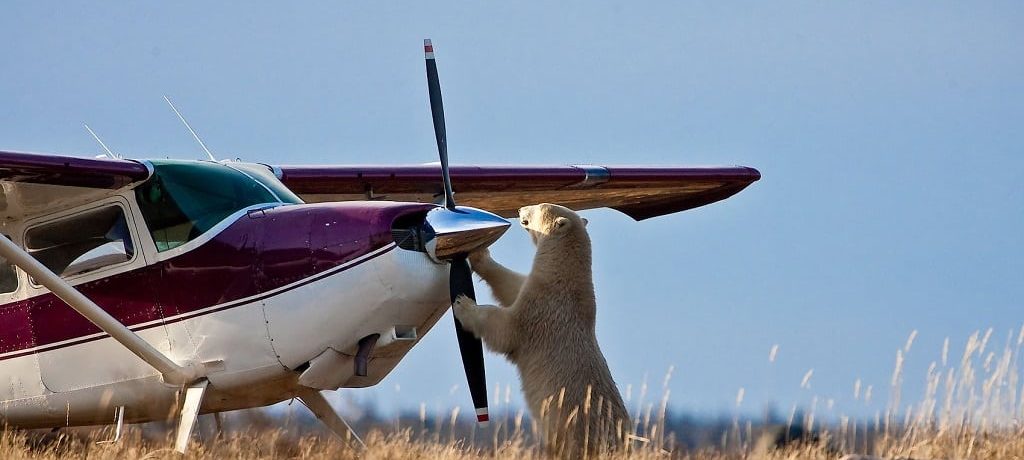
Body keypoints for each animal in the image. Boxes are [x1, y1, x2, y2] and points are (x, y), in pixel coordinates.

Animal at [452, 202, 626, 452]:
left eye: (540, 206)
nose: (520, 208)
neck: (566, 278)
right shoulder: (537, 288)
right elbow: (511, 285)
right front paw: (479, 255)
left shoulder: (544, 308)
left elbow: (506, 328)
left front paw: (463, 303)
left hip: (575, 432)